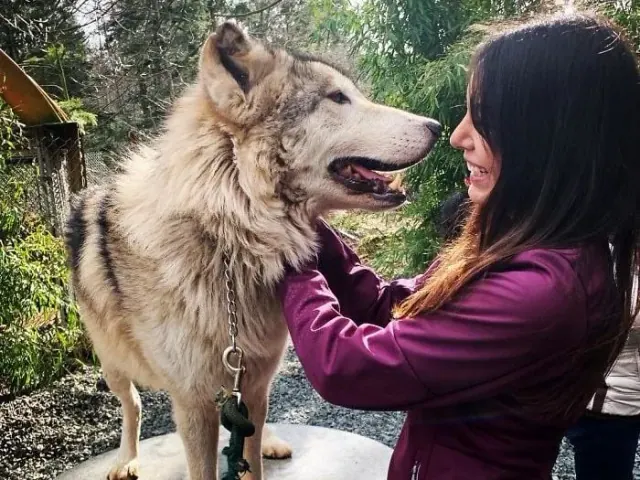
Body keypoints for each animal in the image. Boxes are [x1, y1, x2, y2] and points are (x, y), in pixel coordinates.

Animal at [64, 20, 440, 480]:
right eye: (338, 98)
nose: (437, 124)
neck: (225, 242)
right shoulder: (193, 402)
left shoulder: (254, 380)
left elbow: (251, 457)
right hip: (112, 362)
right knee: (132, 404)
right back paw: (126, 460)